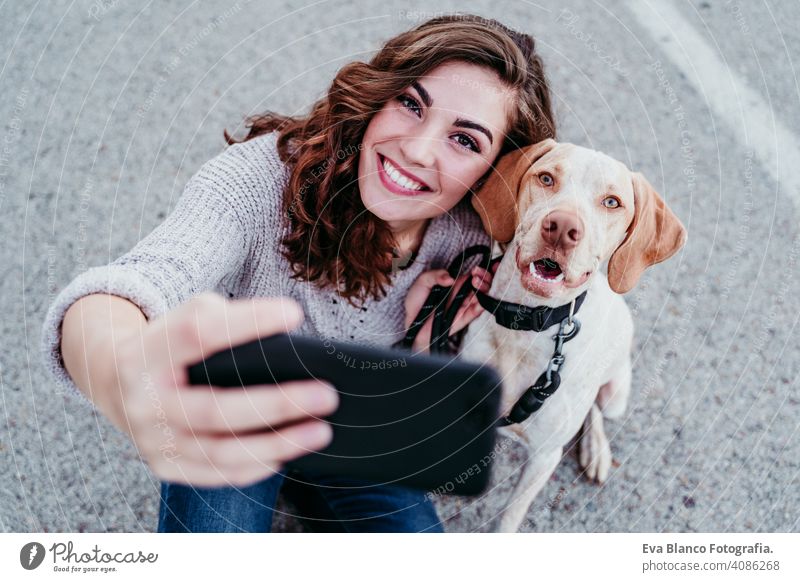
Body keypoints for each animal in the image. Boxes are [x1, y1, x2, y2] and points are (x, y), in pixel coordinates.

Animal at [460, 138, 684, 532]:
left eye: (612, 202)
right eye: (547, 178)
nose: (562, 227)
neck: (526, 325)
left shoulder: (543, 457)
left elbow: (509, 518)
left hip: (615, 396)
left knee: (596, 411)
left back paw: (596, 451)